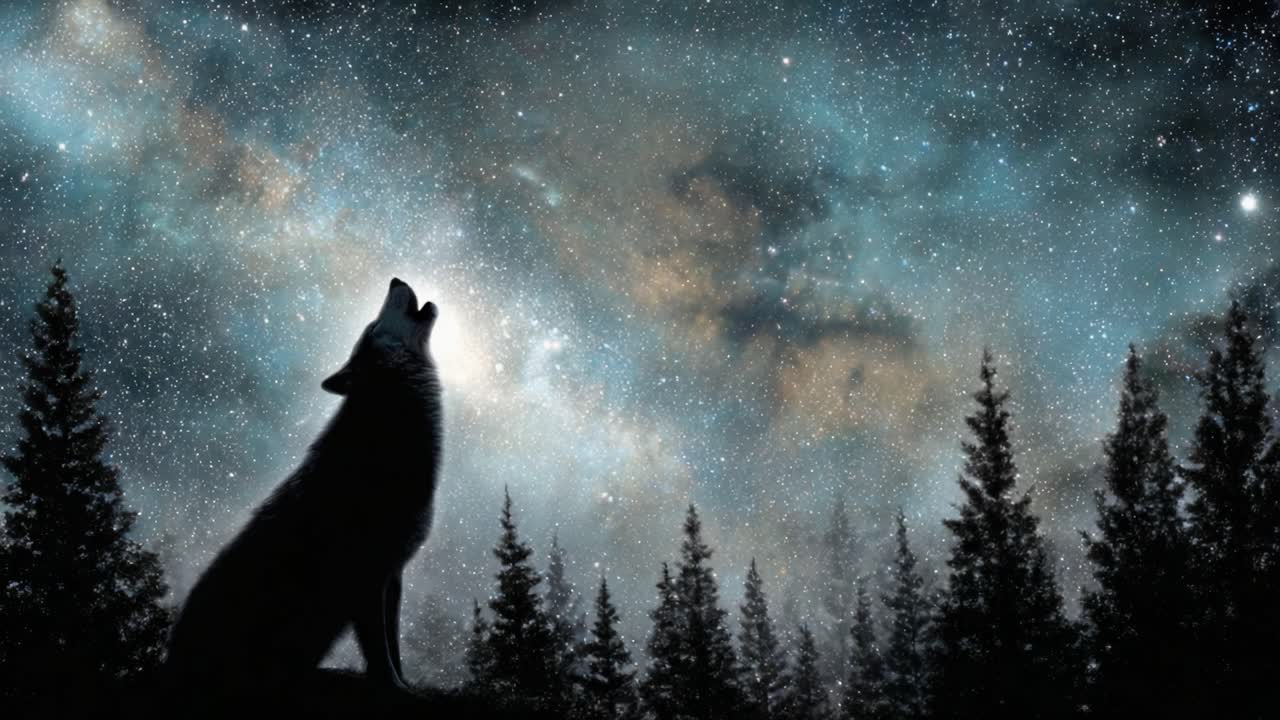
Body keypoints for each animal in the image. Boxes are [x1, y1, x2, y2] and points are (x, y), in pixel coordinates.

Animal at [165, 278, 443, 701]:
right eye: (371, 327)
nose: (394, 280)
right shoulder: (366, 573)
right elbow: (379, 652)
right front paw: (395, 689)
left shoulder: (393, 574)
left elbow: (393, 647)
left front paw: (406, 685)